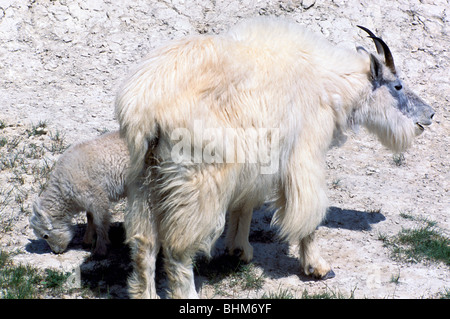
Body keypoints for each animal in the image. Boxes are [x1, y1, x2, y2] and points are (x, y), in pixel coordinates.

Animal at [115, 18, 432, 300]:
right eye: (398, 86)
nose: (430, 114)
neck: (329, 85)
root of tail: (144, 108)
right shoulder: (303, 154)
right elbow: (308, 213)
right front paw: (318, 267)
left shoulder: (256, 165)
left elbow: (244, 205)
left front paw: (240, 250)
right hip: (198, 179)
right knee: (179, 247)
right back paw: (189, 292)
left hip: (145, 175)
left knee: (144, 241)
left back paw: (145, 293)